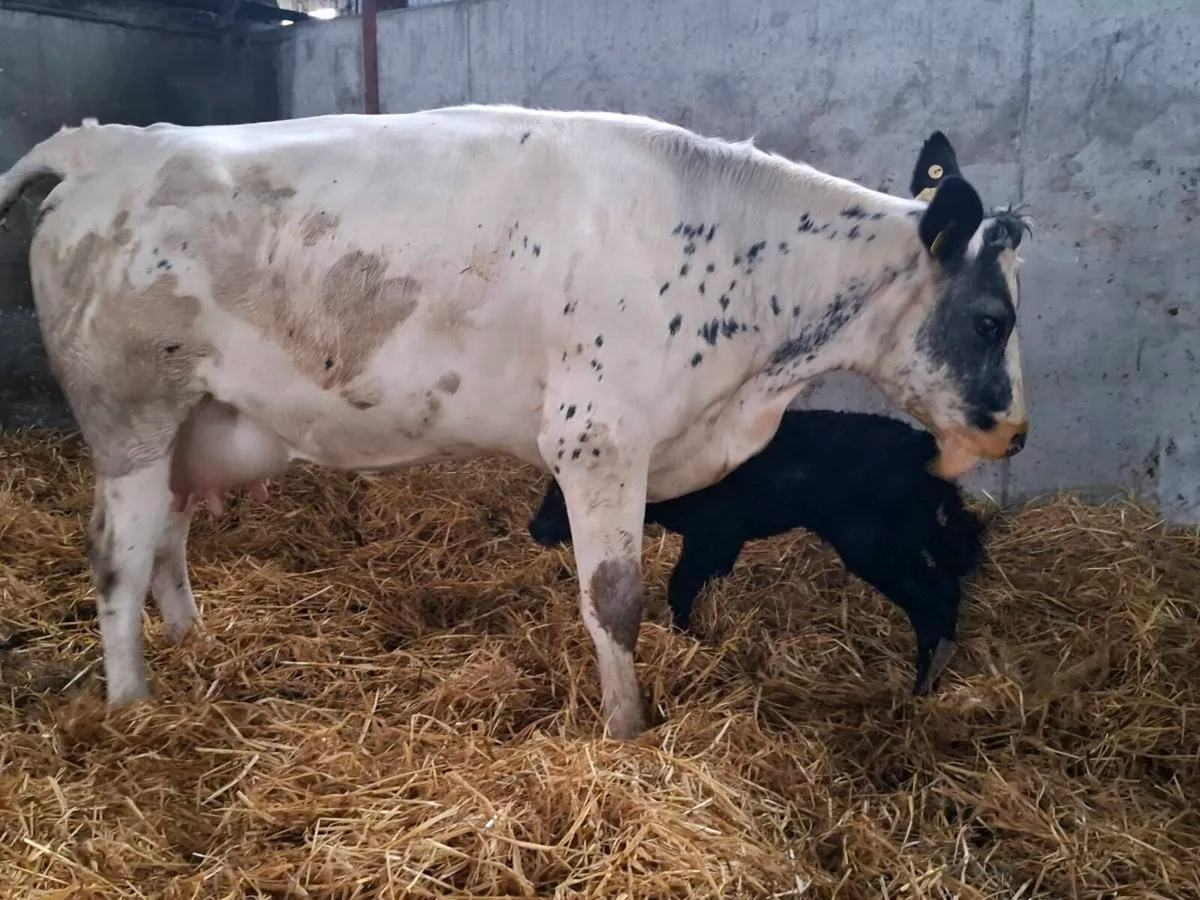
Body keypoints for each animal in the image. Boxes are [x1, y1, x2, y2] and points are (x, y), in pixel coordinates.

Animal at [527, 407, 988, 697]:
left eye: (566, 495)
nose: (536, 529)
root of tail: (924, 449)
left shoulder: (714, 533)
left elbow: (682, 585)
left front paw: (687, 635)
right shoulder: (722, 540)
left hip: (874, 543)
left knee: (935, 595)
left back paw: (922, 684)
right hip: (914, 532)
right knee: (956, 564)